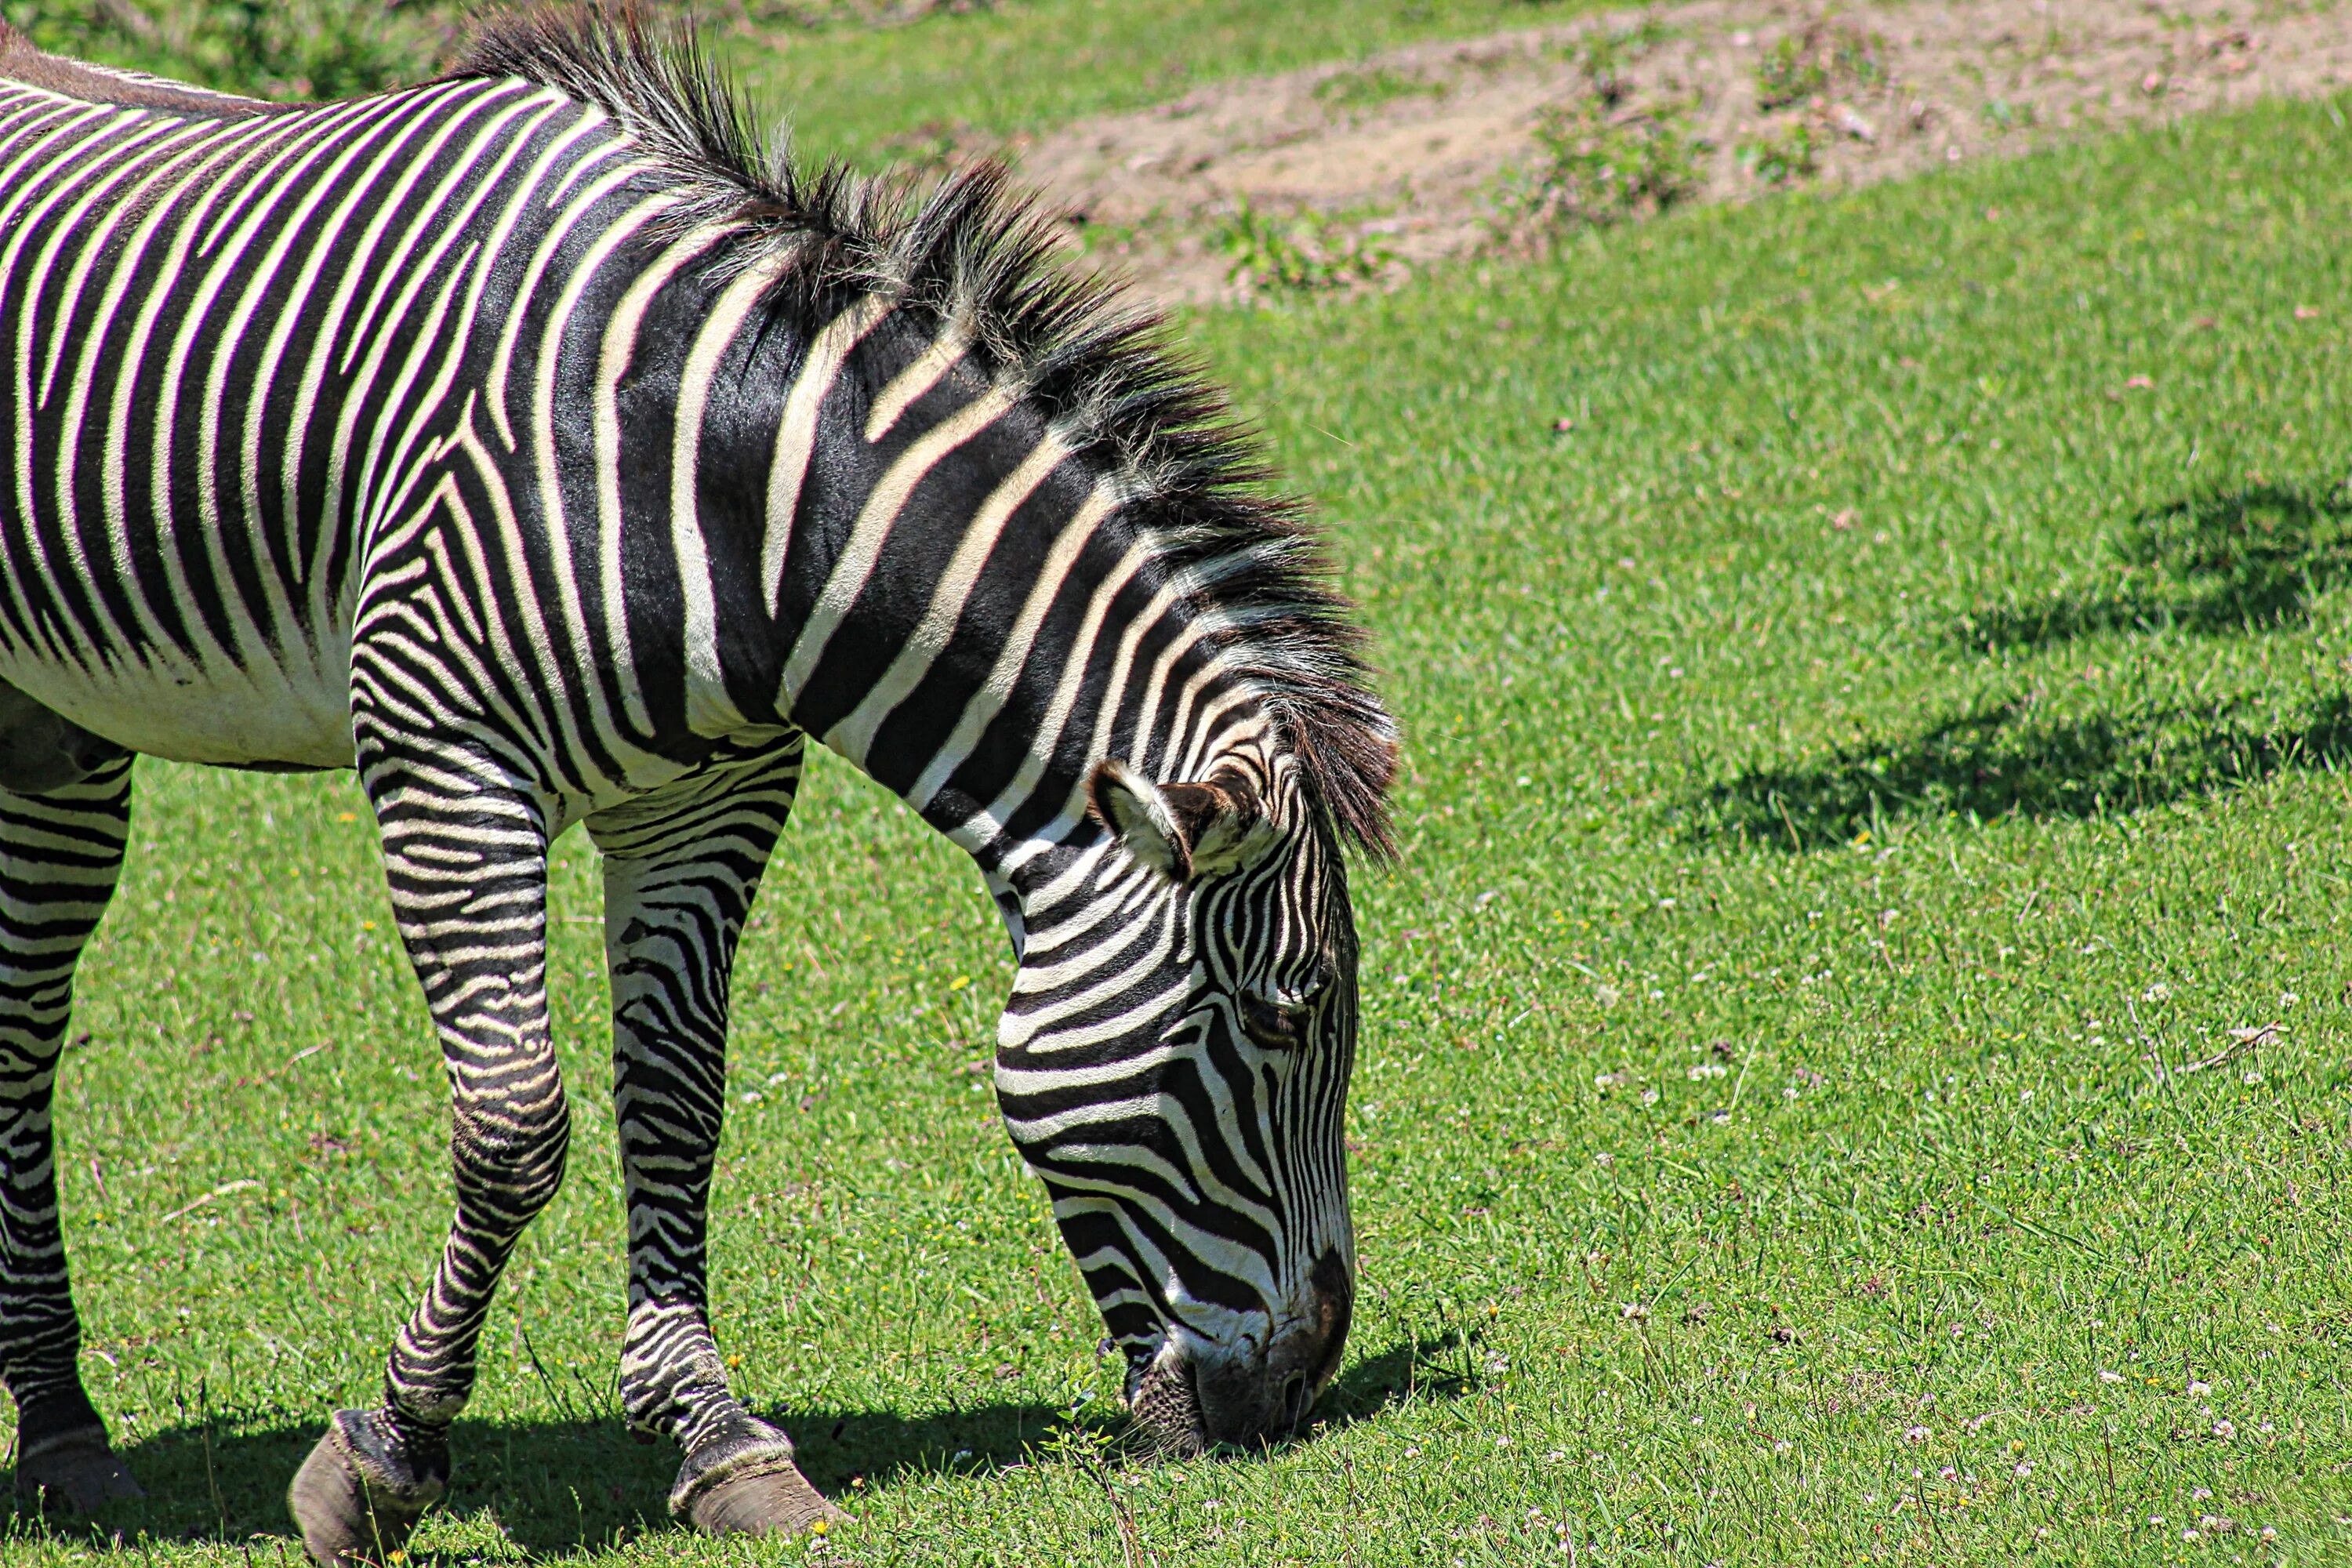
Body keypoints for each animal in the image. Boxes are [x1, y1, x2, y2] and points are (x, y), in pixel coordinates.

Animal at [0, 12, 1392, 1568]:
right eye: (1282, 1024)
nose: (1300, 1393)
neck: (729, 484)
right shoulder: (439, 757)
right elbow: (516, 1128)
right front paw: (384, 1459)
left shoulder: (709, 790)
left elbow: (678, 1097)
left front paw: (718, 1440)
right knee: (26, 1044)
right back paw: (67, 1437)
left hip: (52, 725)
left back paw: (61, 1433)